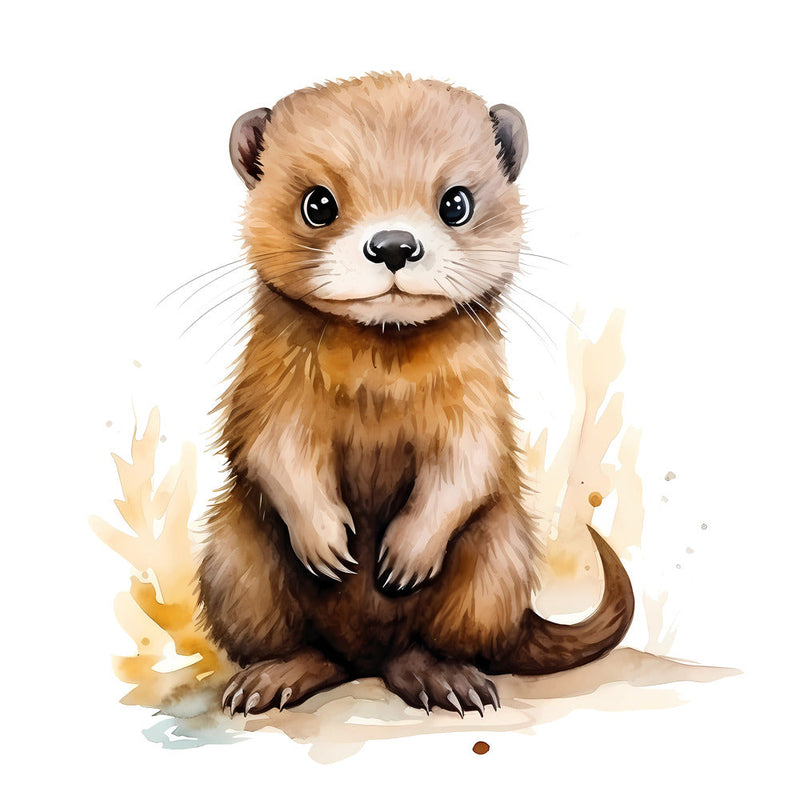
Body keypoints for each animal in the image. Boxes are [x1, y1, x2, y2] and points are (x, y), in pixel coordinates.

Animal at [197, 72, 634, 717]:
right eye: (318, 203)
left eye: (456, 202)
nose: (394, 244)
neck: (379, 386)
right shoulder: (266, 397)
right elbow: (273, 453)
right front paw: (328, 543)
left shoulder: (480, 407)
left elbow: (470, 465)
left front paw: (405, 555)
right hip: (234, 558)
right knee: (314, 649)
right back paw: (273, 676)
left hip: (496, 557)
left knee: (434, 644)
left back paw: (442, 678)